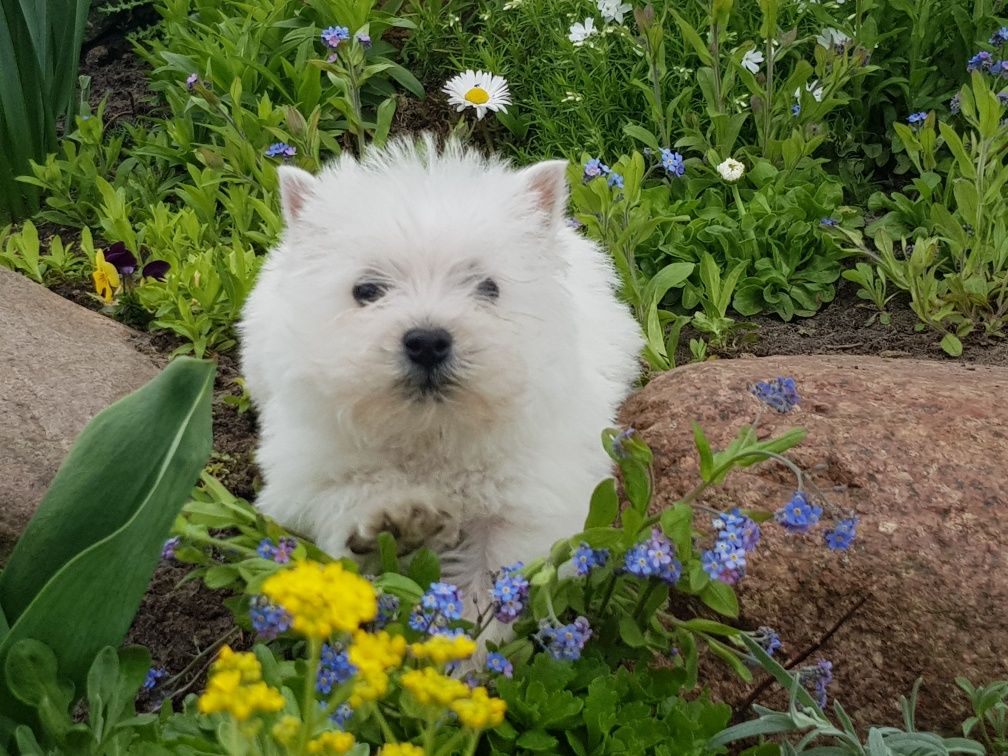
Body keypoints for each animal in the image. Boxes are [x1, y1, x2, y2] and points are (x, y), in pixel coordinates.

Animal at [239, 138, 641, 616]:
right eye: (366, 290)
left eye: (489, 287)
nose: (428, 342)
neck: (431, 435)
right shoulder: (303, 480)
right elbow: (346, 497)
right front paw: (396, 519)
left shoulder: (524, 510)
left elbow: (487, 586)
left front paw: (461, 635)